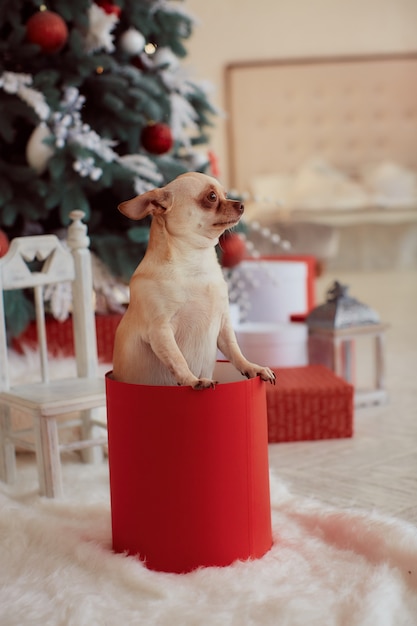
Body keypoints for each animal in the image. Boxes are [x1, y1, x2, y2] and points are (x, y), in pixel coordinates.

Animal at [113, 168, 276, 388]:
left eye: (225, 194)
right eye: (212, 197)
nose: (241, 204)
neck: (195, 264)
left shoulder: (224, 325)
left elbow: (235, 350)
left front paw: (252, 367)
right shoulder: (160, 331)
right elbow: (178, 359)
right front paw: (192, 380)